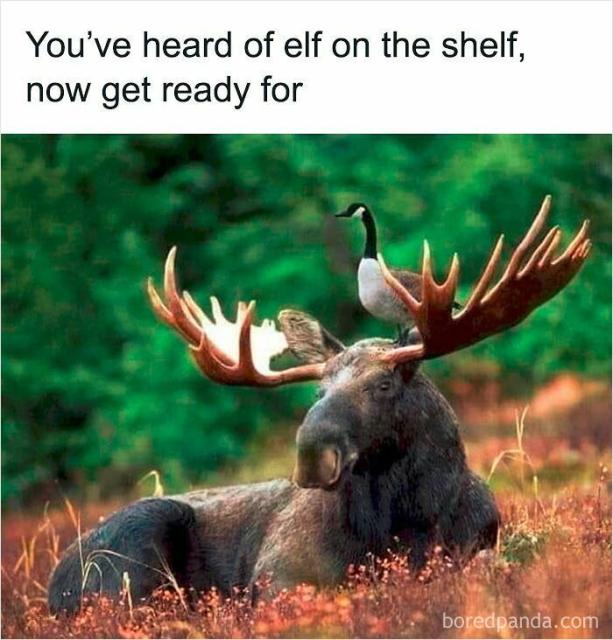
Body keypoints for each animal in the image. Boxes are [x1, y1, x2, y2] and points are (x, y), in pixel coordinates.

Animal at [48, 196, 591, 614]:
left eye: (384, 385)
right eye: (318, 390)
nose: (312, 454)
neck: (404, 525)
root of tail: (53, 586)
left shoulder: (479, 546)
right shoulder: (278, 575)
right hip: (133, 554)